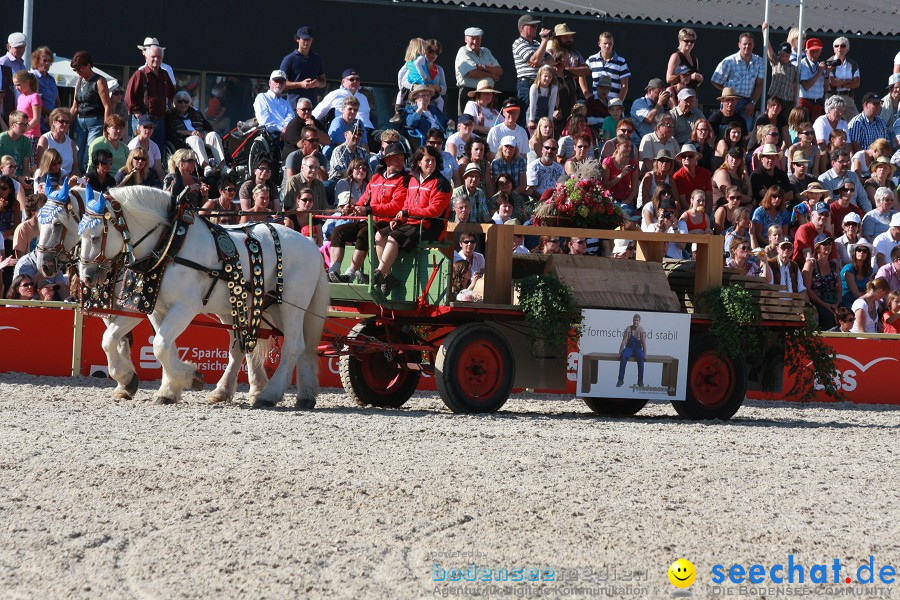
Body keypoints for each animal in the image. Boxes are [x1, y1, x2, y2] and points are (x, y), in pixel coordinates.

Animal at [77, 184, 328, 408]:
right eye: (81, 235)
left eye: (97, 236)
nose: (86, 276)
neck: (169, 243)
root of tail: (310, 244)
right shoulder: (152, 307)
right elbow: (115, 340)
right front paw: (151, 386)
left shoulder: (185, 306)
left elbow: (160, 345)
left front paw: (189, 378)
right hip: (261, 307)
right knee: (292, 346)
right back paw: (298, 395)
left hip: (291, 306)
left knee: (293, 345)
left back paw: (269, 394)